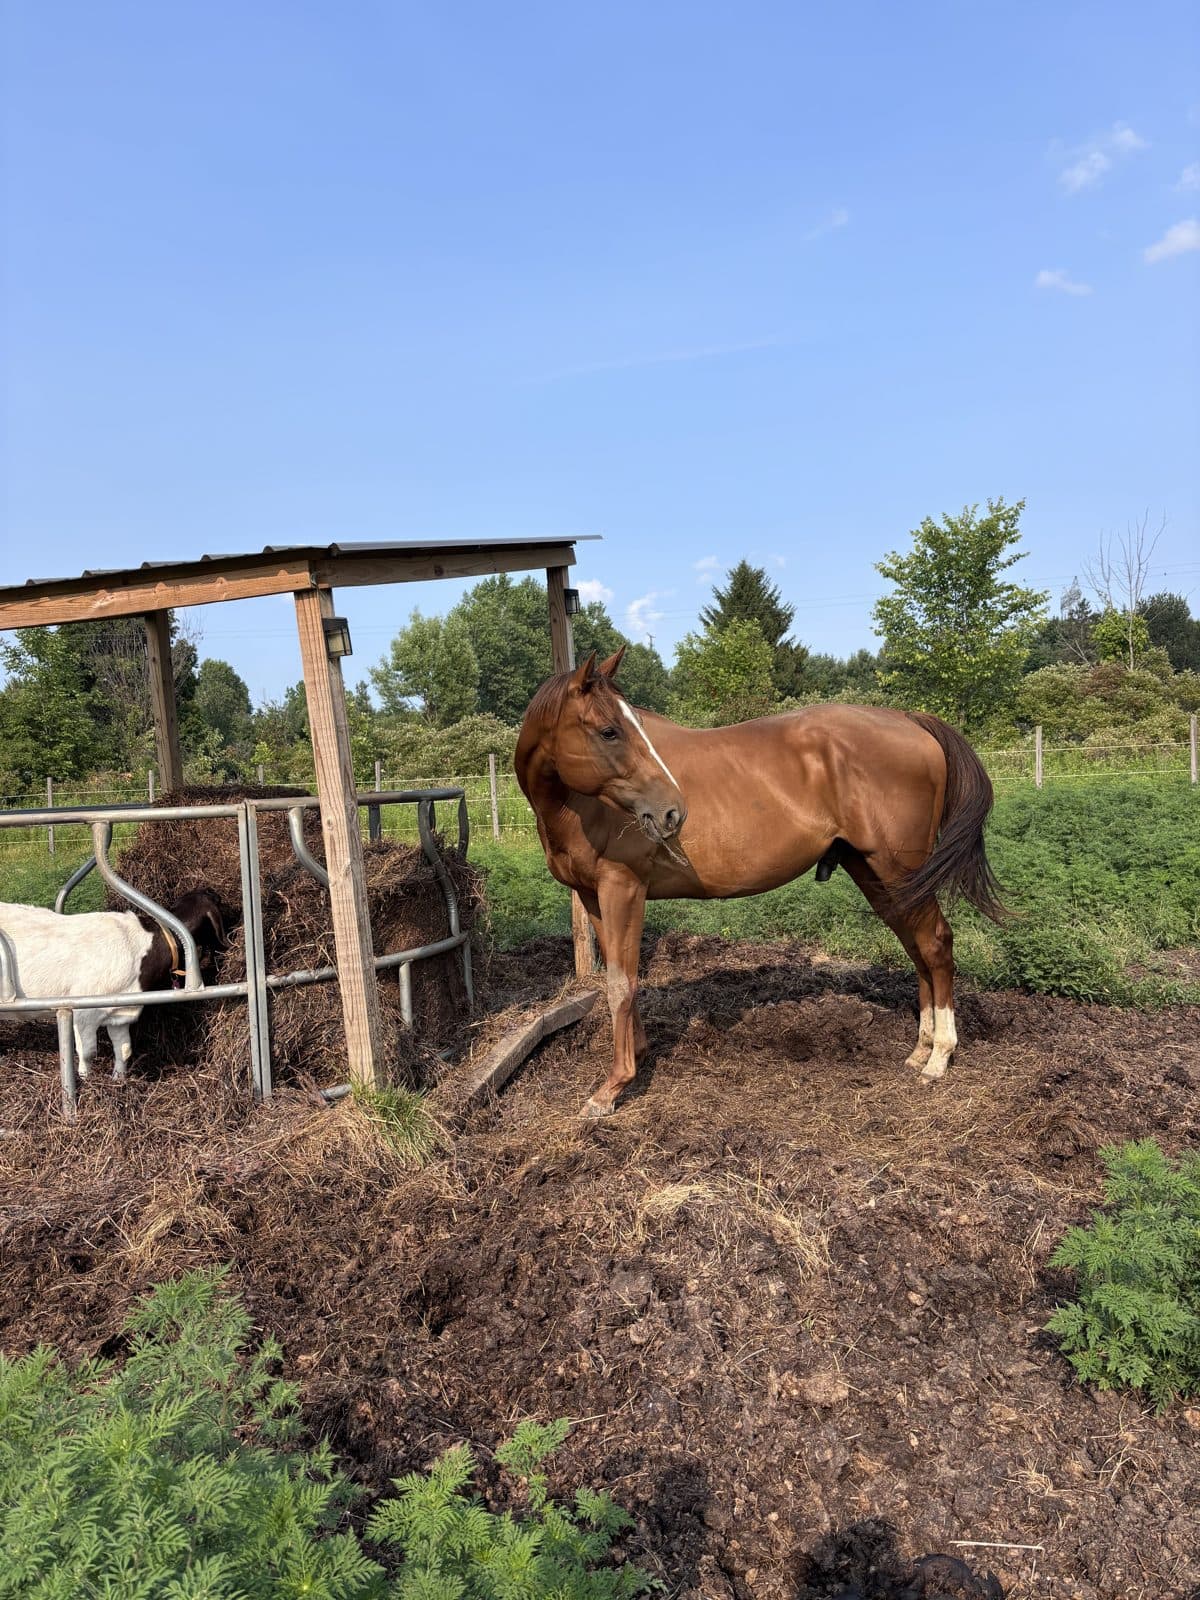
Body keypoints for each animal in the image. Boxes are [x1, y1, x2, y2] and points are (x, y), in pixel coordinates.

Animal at [515, 647, 1003, 1118]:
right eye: (609, 731)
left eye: (626, 726)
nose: (672, 811)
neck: (577, 805)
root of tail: (909, 719)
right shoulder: (593, 897)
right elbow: (621, 980)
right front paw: (636, 1055)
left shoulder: (624, 889)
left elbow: (622, 983)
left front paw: (612, 1087)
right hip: (881, 876)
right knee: (918, 948)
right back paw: (921, 1049)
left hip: (898, 869)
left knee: (936, 944)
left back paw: (940, 1056)